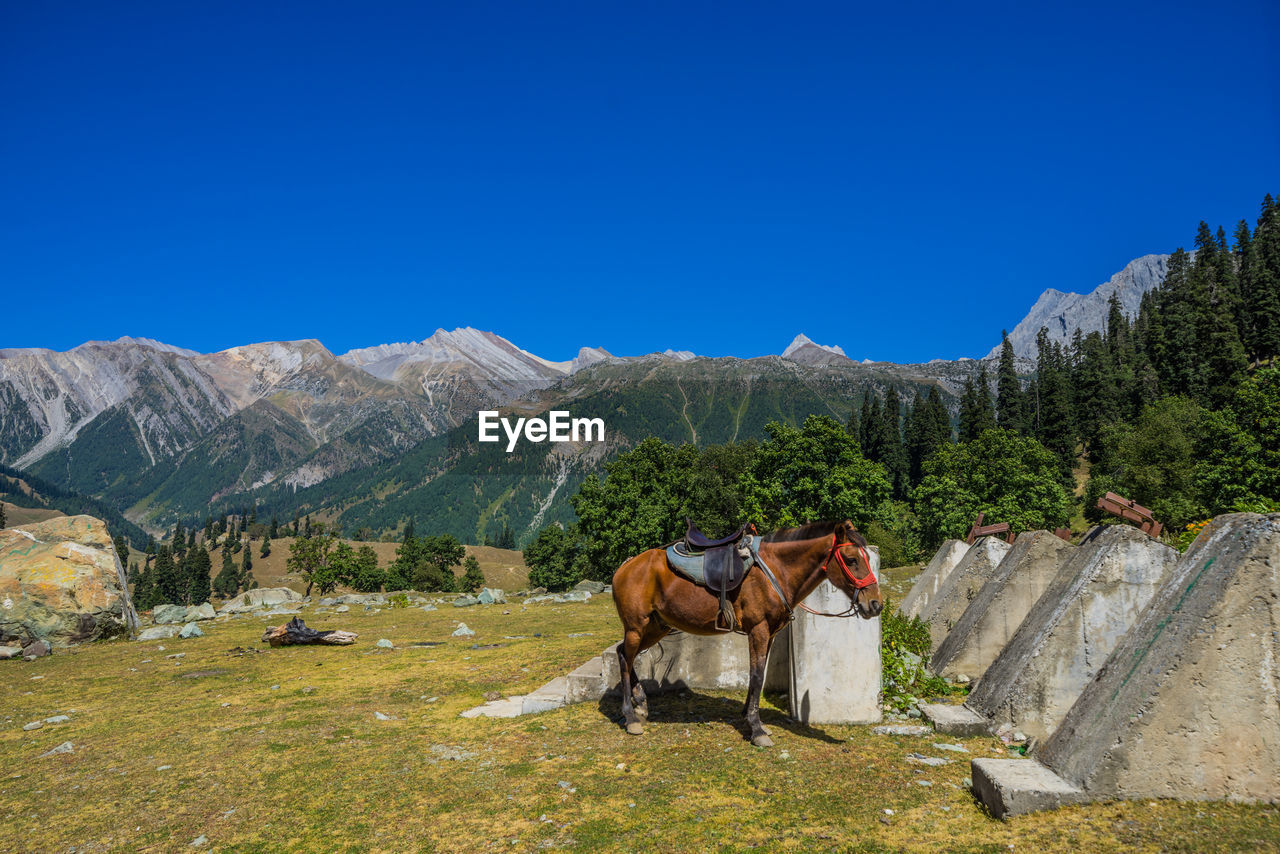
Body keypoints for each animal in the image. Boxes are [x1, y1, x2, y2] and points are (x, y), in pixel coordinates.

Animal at [609, 517, 880, 742]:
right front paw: (756, 728)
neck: (776, 570)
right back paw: (630, 716)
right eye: (852, 560)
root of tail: (626, 566)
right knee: (625, 660)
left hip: (657, 627)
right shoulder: (758, 630)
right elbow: (757, 675)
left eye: (867, 558)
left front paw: (750, 719)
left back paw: (640, 703)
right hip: (636, 627)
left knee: (625, 654)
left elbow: (756, 674)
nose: (875, 604)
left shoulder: (770, 634)